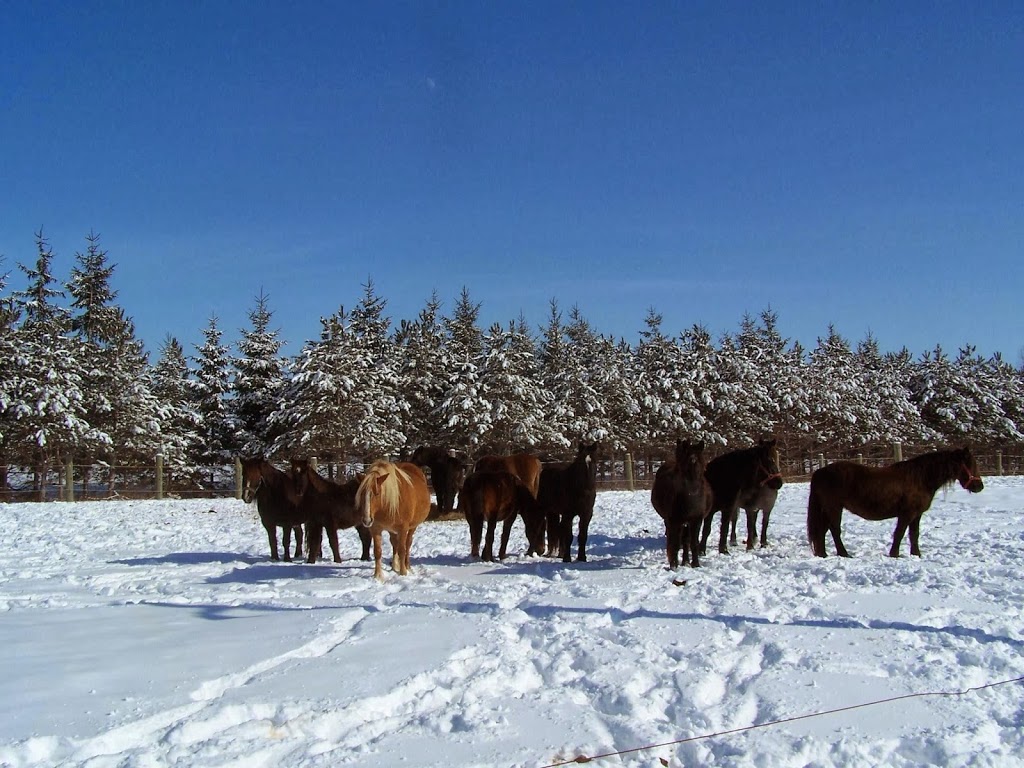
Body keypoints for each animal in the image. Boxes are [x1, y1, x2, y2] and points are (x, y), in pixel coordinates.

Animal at [806, 444, 983, 561]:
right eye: (970, 464)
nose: (979, 486)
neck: (921, 478)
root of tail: (820, 472)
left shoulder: (917, 515)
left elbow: (914, 534)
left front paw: (916, 555)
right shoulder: (907, 514)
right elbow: (900, 533)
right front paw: (895, 554)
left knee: (822, 530)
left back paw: (823, 554)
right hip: (834, 507)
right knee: (834, 530)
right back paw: (844, 554)